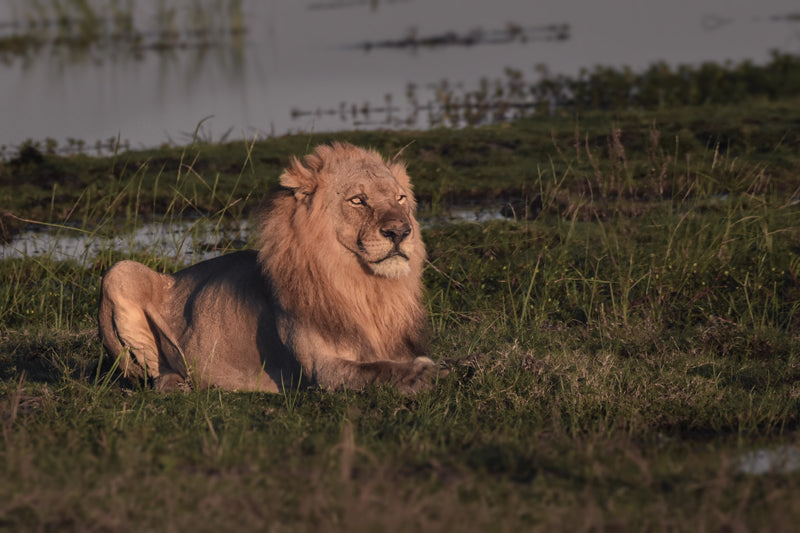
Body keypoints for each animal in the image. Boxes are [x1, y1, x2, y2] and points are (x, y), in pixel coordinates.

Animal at [97, 142, 442, 394]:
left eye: (400, 198)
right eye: (358, 200)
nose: (401, 231)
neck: (365, 285)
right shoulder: (321, 371)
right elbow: (376, 370)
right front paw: (424, 373)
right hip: (119, 271)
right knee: (154, 374)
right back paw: (178, 384)